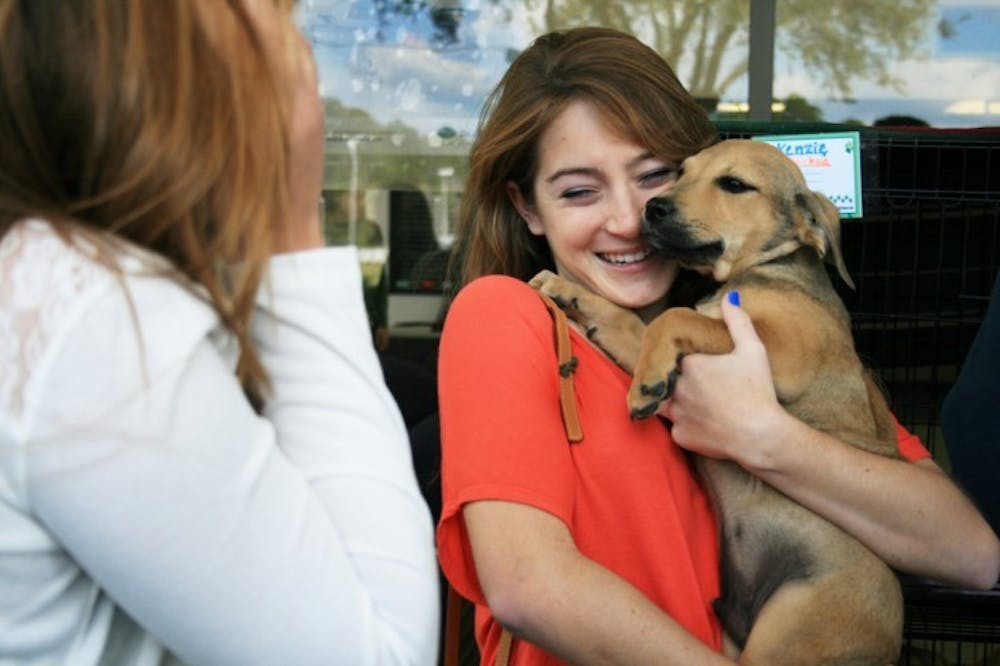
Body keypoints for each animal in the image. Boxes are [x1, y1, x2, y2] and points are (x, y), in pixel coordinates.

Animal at [536, 139, 904, 664]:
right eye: (680, 172)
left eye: (733, 184)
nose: (653, 207)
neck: (764, 274)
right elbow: (628, 317)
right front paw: (566, 289)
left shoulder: (783, 353)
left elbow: (674, 316)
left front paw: (646, 383)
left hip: (789, 636)